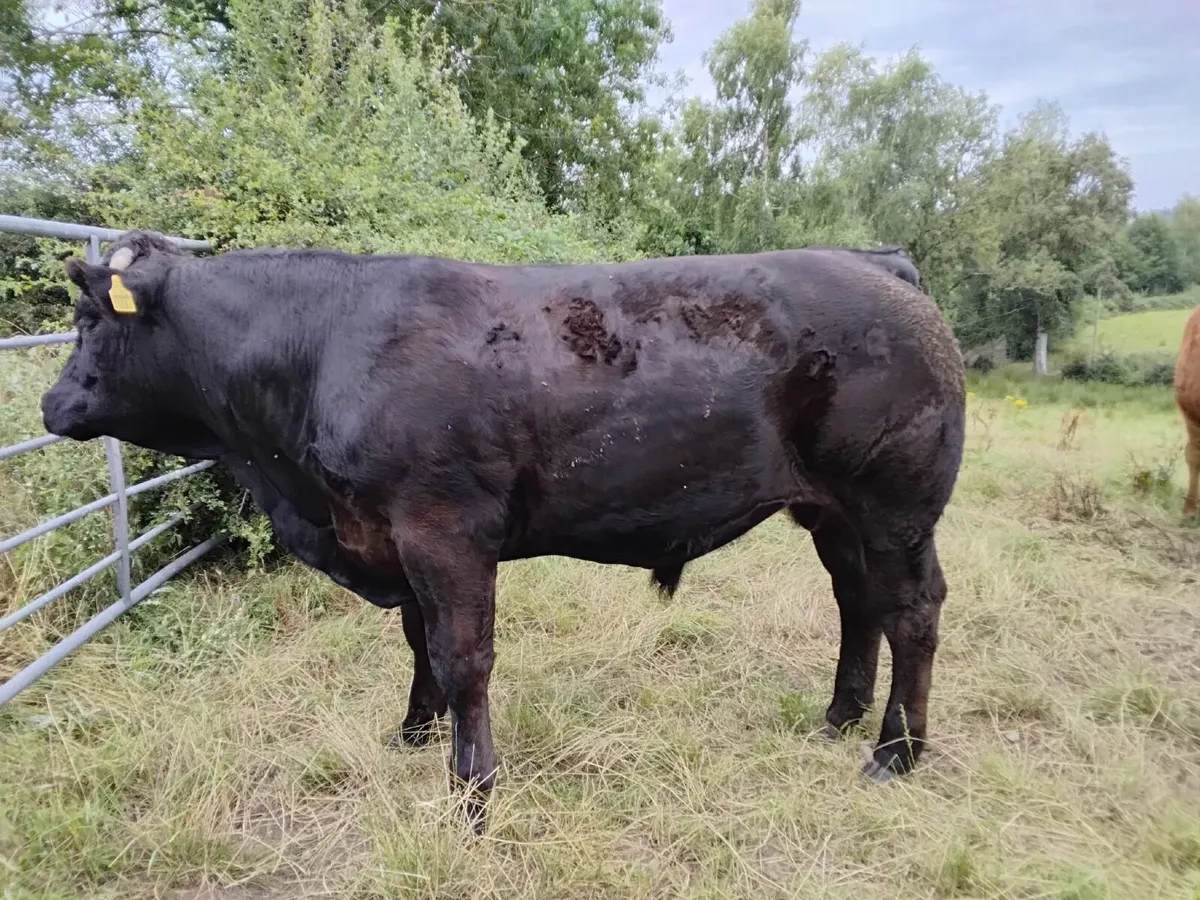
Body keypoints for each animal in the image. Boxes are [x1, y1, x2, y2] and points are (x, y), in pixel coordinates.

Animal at [40, 231, 966, 835]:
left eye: (87, 323)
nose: (51, 405)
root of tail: (877, 261)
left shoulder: (443, 529)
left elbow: (463, 659)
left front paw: (471, 794)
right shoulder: (396, 536)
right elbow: (418, 644)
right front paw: (413, 733)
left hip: (896, 504)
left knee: (913, 610)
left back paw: (896, 752)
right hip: (834, 510)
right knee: (857, 602)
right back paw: (839, 715)